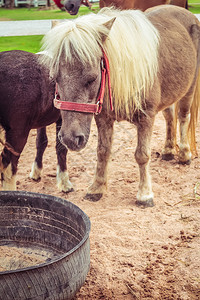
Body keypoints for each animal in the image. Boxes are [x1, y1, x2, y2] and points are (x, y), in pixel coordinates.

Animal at [0, 50, 73, 192]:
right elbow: (61, 148)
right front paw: (64, 182)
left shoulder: (41, 121)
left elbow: (41, 142)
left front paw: (36, 172)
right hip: (18, 132)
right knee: (8, 164)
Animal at [40, 5, 200, 206]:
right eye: (54, 78)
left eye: (92, 78)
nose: (69, 139)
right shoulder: (103, 118)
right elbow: (102, 151)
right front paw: (97, 188)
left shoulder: (146, 117)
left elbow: (142, 155)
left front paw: (145, 194)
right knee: (170, 117)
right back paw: (168, 150)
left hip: (189, 89)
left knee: (183, 117)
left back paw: (184, 155)